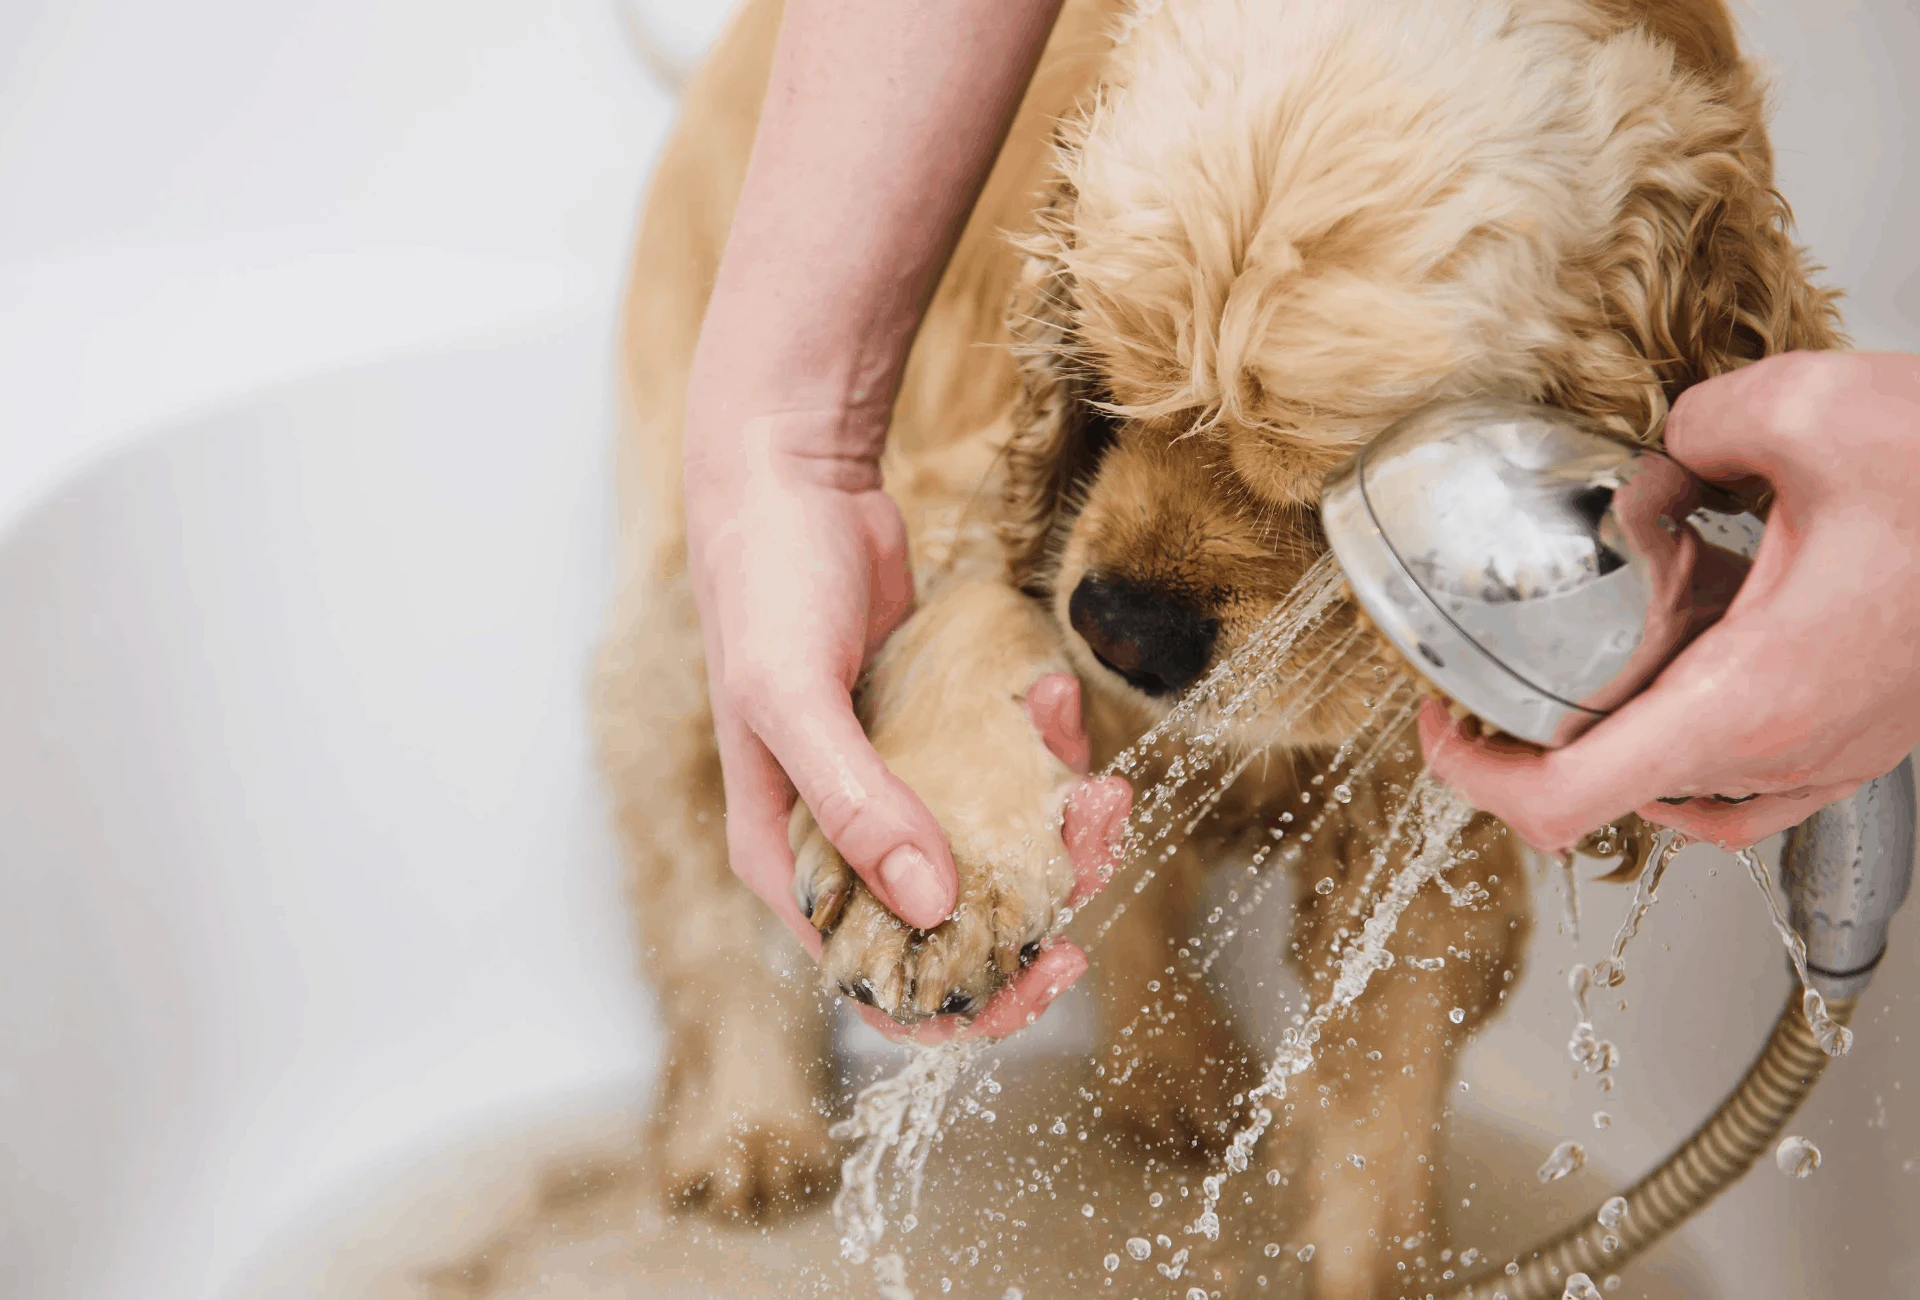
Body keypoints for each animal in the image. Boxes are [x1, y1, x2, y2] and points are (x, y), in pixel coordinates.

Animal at [587, 2, 1843, 1290]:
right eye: (1107, 379)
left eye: (1341, 487)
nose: (1119, 630)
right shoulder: (969, 488)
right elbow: (971, 619)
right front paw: (938, 888)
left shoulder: (1428, 811)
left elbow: (1380, 1105)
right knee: (699, 864)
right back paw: (748, 1131)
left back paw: (1175, 1076)